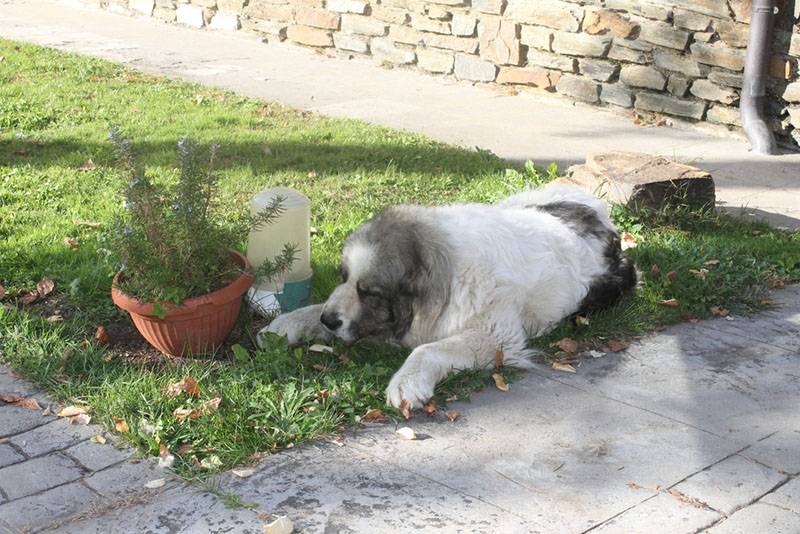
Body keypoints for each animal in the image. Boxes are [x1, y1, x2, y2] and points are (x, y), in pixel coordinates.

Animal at [260, 184, 636, 410]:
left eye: (370, 292)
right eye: (344, 277)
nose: (329, 321)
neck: (446, 274)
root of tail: (600, 213)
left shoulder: (494, 336)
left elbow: (427, 349)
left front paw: (407, 382)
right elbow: (311, 308)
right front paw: (283, 326)